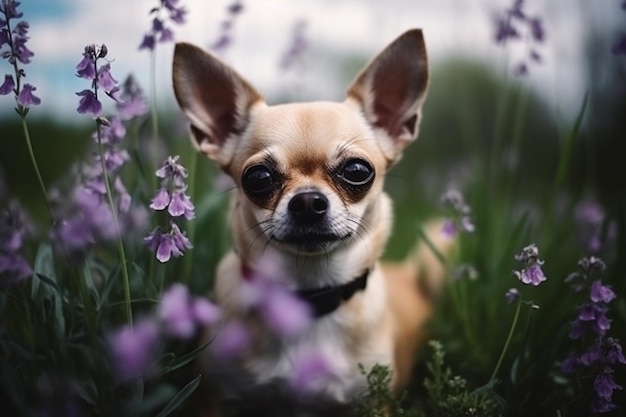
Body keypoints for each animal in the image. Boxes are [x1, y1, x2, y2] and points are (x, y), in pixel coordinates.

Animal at [173, 28, 450, 412]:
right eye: (258, 177)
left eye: (357, 171)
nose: (306, 201)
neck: (308, 293)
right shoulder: (214, 399)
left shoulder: (374, 403)